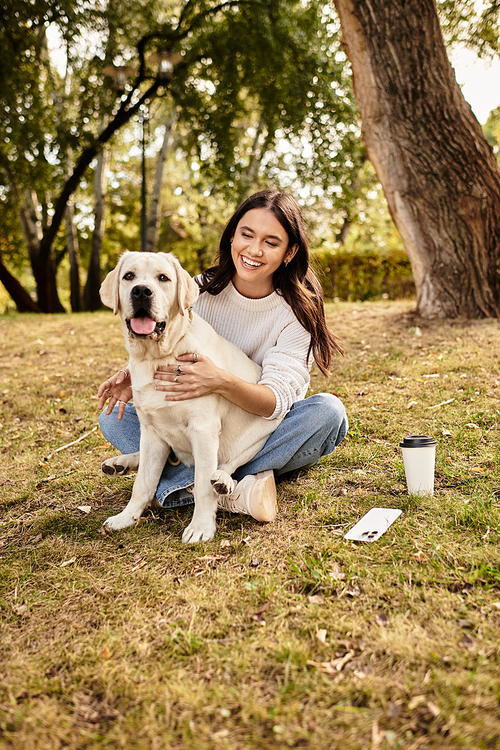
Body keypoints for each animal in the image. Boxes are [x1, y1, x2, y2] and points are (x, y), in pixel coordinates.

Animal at [99, 256, 284, 544]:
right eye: (128, 276)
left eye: (163, 278)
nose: (141, 291)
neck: (157, 357)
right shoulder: (150, 430)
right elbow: (143, 483)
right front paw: (126, 517)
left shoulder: (203, 429)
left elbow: (203, 488)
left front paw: (201, 527)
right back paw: (121, 462)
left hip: (263, 430)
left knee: (229, 464)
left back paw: (223, 480)